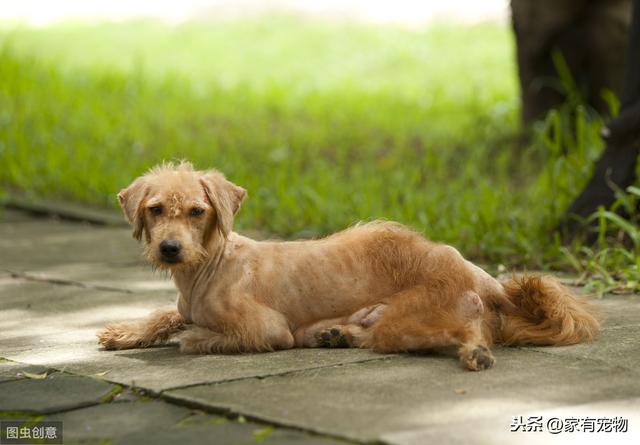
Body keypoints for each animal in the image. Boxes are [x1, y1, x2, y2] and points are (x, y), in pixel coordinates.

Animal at [97, 161, 604, 370]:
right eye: (155, 210)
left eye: (197, 212)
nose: (170, 249)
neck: (208, 266)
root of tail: (480, 273)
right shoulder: (182, 304)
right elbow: (165, 314)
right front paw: (126, 331)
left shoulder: (266, 330)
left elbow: (195, 337)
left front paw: (189, 336)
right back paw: (336, 334)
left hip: (409, 316)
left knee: (464, 330)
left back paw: (474, 352)